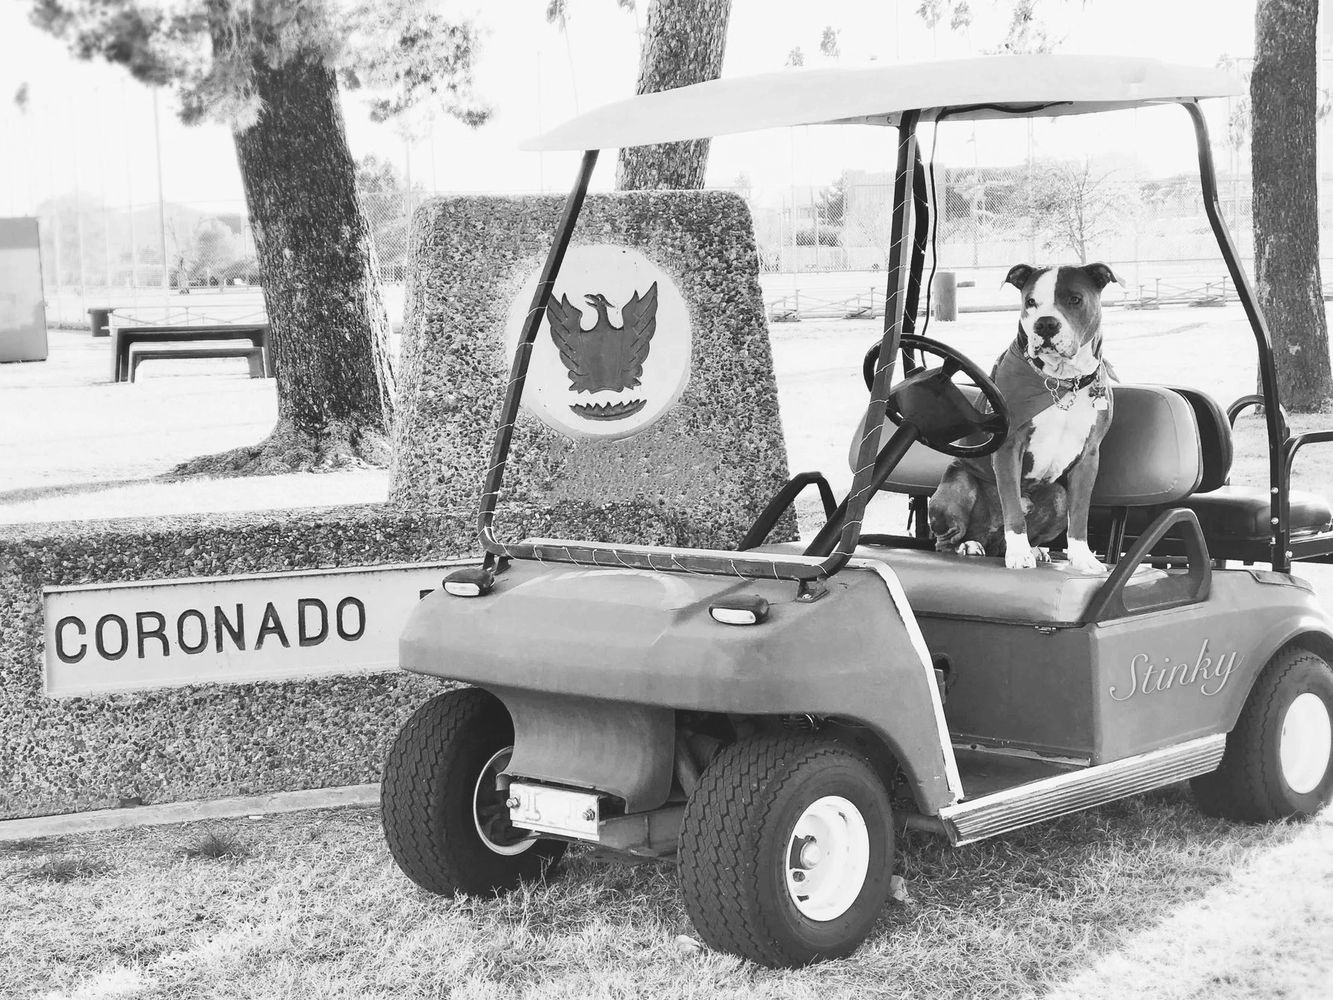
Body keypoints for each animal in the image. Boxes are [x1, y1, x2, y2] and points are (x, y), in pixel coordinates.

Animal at [927, 262, 1125, 576]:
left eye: (1075, 299)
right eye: (1030, 302)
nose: (1045, 324)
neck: (1062, 381)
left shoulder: (1089, 456)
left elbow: (1080, 514)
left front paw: (1082, 558)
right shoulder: (1009, 447)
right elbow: (1012, 507)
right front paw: (1019, 554)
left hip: (1057, 497)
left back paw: (1034, 548)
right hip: (957, 487)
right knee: (947, 539)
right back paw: (969, 545)